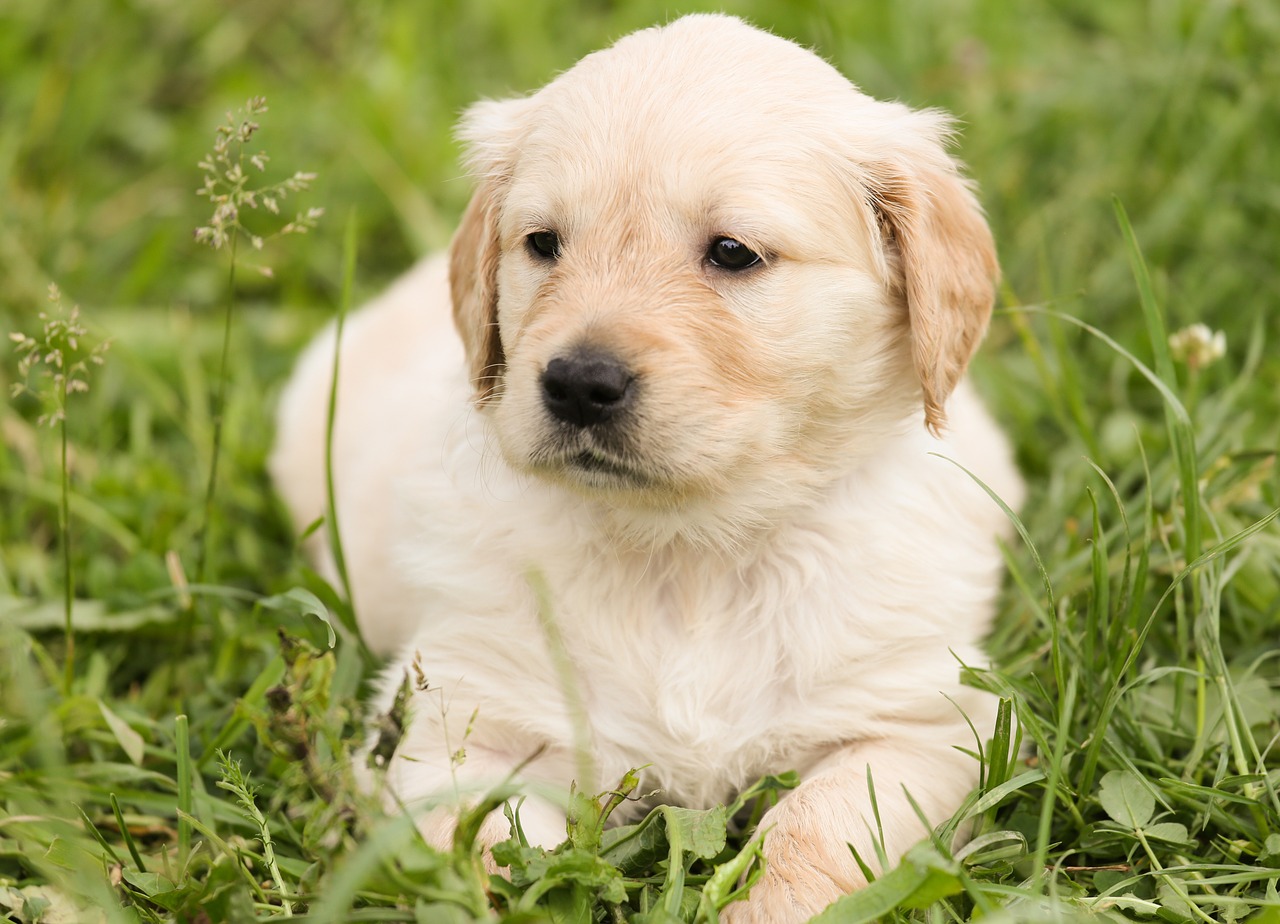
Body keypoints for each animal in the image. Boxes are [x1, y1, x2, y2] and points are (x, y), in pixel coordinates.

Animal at [270, 16, 1018, 921]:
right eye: (542, 244)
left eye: (732, 252)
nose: (576, 383)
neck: (688, 555)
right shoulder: (452, 729)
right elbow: (495, 856)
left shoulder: (922, 724)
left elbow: (815, 830)